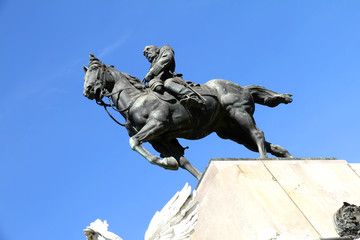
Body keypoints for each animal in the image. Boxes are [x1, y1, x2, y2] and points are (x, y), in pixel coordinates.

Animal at [83, 53, 294, 179]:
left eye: (94, 69)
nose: (88, 91)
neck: (135, 100)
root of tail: (242, 87)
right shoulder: (160, 140)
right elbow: (182, 162)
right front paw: (181, 168)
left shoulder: (157, 124)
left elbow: (134, 142)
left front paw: (166, 162)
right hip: (231, 132)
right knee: (267, 143)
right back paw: (288, 158)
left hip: (239, 112)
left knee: (258, 134)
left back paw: (263, 159)